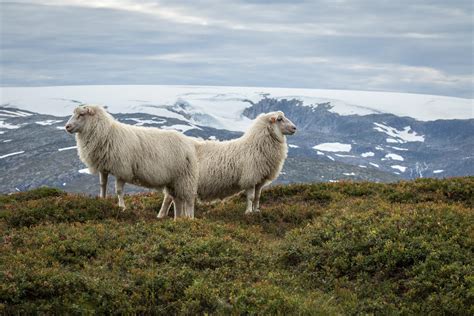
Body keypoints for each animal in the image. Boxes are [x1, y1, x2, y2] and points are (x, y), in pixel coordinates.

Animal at [64, 105, 197, 218]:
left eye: (81, 114)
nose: (67, 126)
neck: (106, 133)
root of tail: (189, 143)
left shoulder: (122, 169)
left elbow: (119, 191)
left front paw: (122, 207)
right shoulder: (103, 167)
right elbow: (102, 185)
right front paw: (102, 200)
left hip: (184, 177)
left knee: (189, 200)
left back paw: (189, 219)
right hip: (173, 180)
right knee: (173, 199)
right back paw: (173, 218)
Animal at [157, 110, 294, 218]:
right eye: (279, 119)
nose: (294, 128)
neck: (256, 144)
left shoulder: (260, 179)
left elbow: (257, 197)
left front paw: (256, 211)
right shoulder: (250, 177)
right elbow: (250, 197)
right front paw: (248, 212)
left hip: (178, 181)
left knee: (170, 198)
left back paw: (164, 216)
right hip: (182, 180)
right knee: (168, 198)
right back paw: (162, 215)